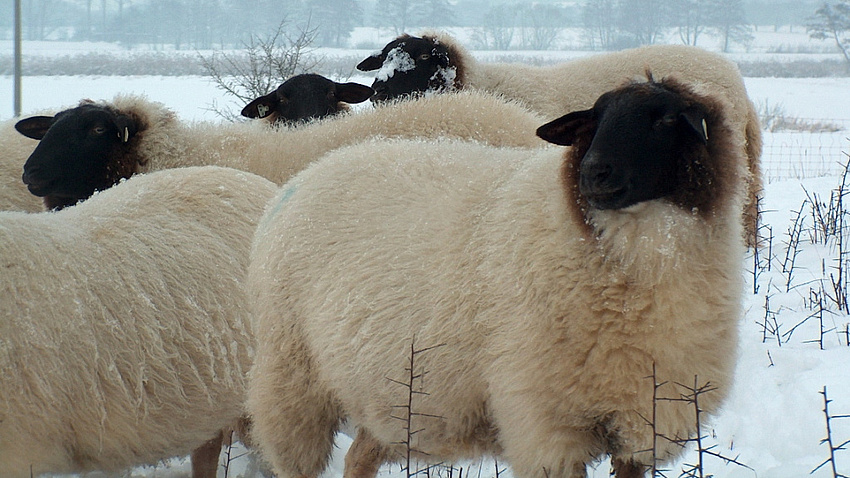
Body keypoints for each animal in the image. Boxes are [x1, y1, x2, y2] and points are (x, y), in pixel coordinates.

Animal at [243, 77, 744, 478]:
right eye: (595, 118)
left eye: (666, 120)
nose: (593, 172)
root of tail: (312, 171)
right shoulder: (546, 426)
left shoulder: (644, 422)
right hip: (292, 379)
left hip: (388, 397)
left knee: (359, 456)